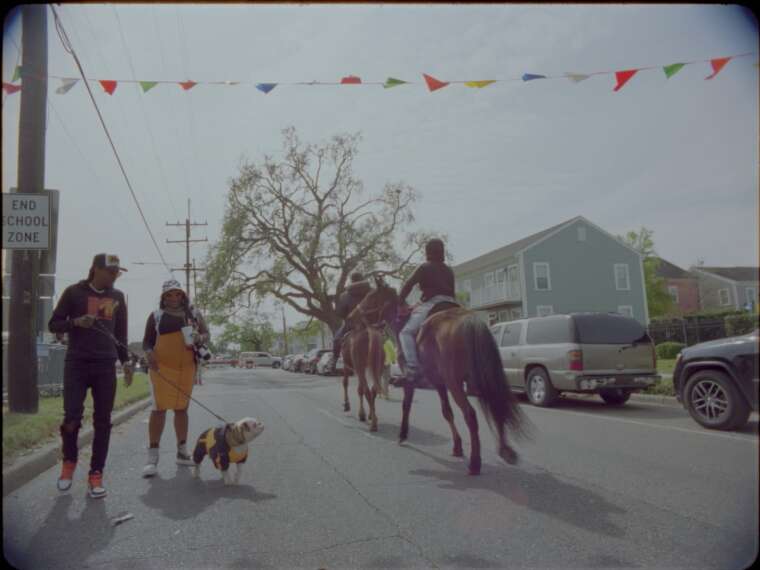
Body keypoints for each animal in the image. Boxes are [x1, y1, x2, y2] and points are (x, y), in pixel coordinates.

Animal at [338, 288, 386, 430]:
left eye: (369, 297)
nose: (350, 316)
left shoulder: (349, 366)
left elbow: (347, 383)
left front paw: (352, 408)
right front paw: (367, 414)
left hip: (358, 366)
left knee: (366, 390)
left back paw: (373, 424)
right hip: (378, 366)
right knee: (373, 390)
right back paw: (373, 418)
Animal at [358, 276, 528, 474]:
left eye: (370, 296)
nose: (358, 311)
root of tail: (470, 322)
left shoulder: (412, 380)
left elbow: (406, 406)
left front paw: (402, 435)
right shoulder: (439, 383)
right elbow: (447, 412)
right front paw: (457, 446)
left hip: (456, 384)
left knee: (470, 414)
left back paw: (475, 463)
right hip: (481, 381)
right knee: (497, 406)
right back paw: (505, 450)